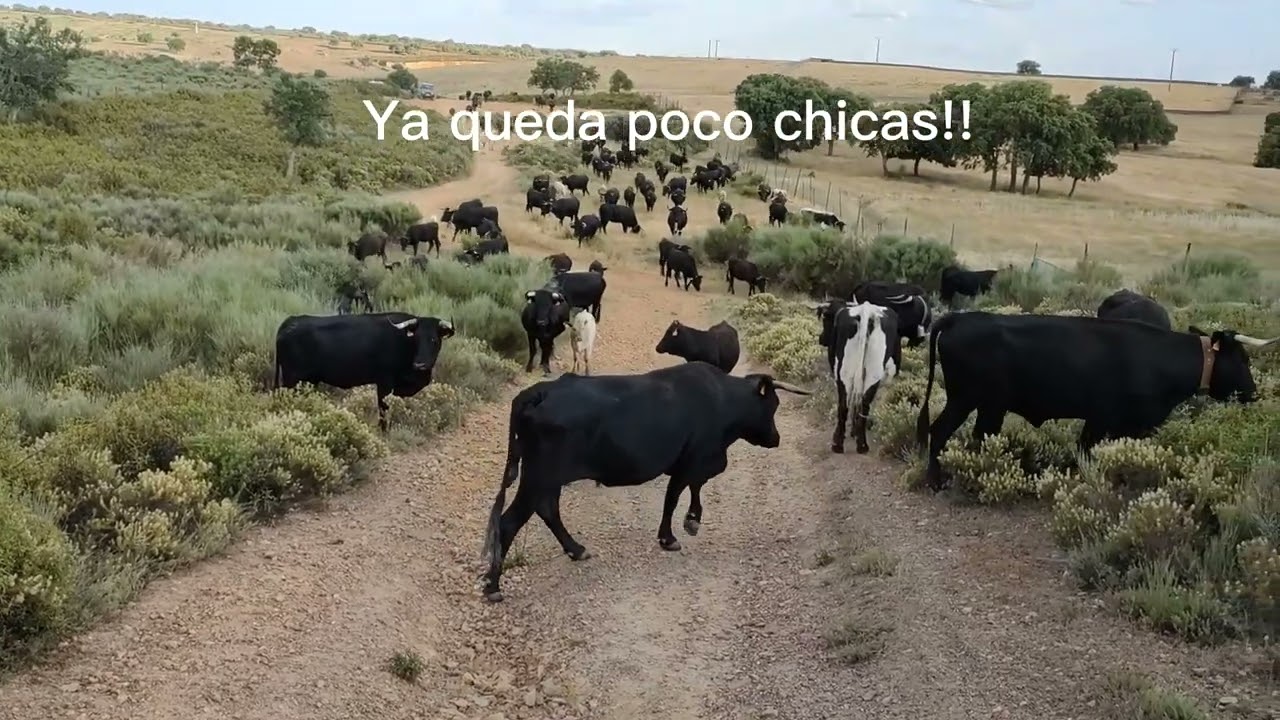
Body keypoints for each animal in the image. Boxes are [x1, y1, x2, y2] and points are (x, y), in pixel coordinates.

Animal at [274, 313, 455, 432]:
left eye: (434, 339)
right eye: (416, 339)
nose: (420, 364)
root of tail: (289, 322)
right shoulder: (384, 382)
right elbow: (383, 408)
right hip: (292, 379)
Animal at [479, 362, 811, 601]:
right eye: (773, 405)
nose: (776, 438)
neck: (722, 399)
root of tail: (540, 391)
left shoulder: (692, 462)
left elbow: (691, 489)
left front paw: (691, 520)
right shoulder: (693, 459)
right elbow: (675, 496)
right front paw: (672, 534)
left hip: (547, 479)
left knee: (547, 510)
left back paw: (576, 549)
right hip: (539, 476)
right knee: (509, 522)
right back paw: (494, 586)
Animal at [815, 301, 901, 455]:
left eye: (825, 320)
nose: (821, 338)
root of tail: (866, 310)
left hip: (845, 371)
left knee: (845, 404)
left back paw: (838, 443)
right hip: (871, 373)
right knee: (863, 404)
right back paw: (861, 445)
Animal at [914, 312, 1276, 491]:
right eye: (1242, 358)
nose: (1253, 392)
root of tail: (959, 318)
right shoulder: (1106, 419)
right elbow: (1089, 455)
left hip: (986, 405)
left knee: (973, 436)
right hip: (966, 398)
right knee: (940, 431)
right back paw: (935, 481)